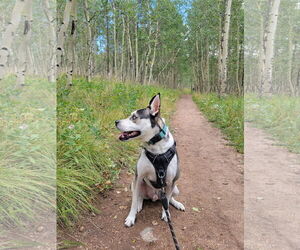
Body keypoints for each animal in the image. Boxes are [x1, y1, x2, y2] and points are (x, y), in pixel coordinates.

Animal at [115, 93, 184, 227]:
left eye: (134, 117)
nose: (116, 121)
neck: (157, 149)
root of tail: (155, 196)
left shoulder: (171, 181)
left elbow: (167, 201)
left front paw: (166, 215)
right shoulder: (138, 177)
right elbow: (133, 201)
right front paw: (131, 217)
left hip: (175, 188)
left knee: (169, 199)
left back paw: (177, 204)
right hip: (134, 184)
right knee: (139, 197)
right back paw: (139, 205)